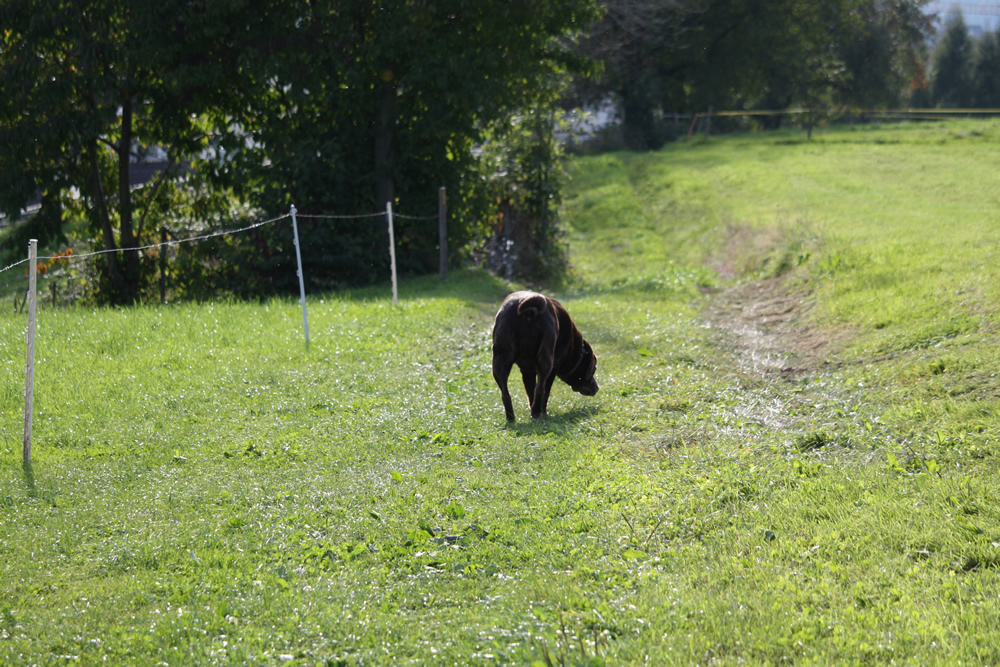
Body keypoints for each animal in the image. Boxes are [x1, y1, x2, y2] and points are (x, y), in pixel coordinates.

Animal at [491, 291, 598, 422]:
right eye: (593, 370)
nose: (596, 388)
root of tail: (530, 310)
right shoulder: (553, 368)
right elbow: (544, 393)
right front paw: (541, 412)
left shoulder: (527, 370)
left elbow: (530, 391)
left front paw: (531, 409)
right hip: (546, 359)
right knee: (541, 390)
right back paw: (538, 413)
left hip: (499, 361)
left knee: (505, 394)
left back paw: (511, 418)